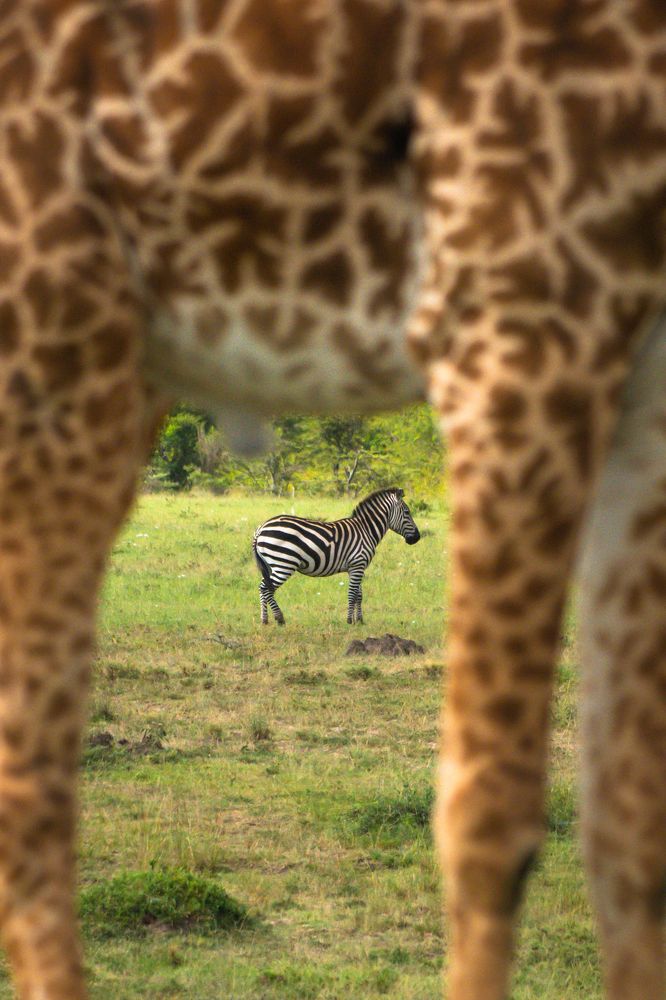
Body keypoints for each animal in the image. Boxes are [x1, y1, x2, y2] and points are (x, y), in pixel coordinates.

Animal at [252, 487, 421, 625]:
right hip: (284, 564)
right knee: (267, 589)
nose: (417, 538)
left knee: (262, 587)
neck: (366, 529)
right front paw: (349, 621)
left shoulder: (357, 567)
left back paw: (264, 620)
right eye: (407, 512)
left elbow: (359, 595)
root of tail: (261, 528)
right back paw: (279, 618)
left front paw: (359, 621)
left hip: (271, 565)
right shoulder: (358, 564)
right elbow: (352, 594)